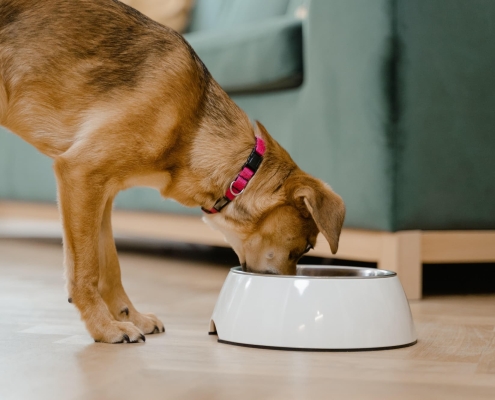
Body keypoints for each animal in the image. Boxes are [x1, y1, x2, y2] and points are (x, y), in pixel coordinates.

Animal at [0, 0, 344, 344]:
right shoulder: (80, 173)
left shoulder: (101, 193)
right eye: (307, 247)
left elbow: (109, 265)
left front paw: (129, 316)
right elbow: (86, 269)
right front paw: (105, 328)